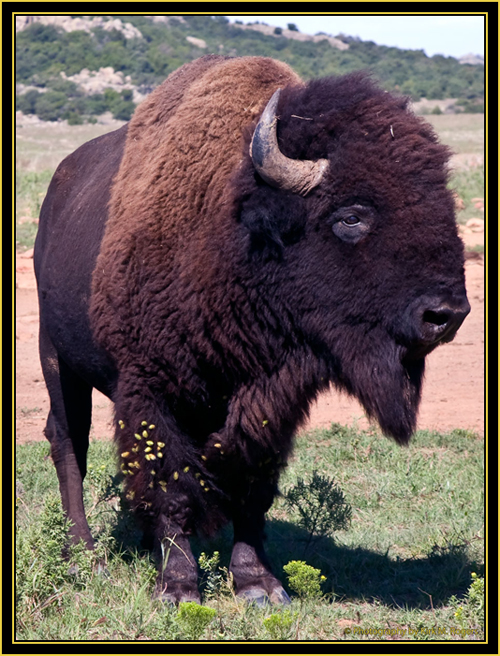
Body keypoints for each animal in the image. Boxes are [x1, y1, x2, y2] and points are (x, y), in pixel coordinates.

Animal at [34, 56, 468, 604]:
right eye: (351, 216)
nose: (447, 313)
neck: (234, 233)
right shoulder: (151, 392)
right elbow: (171, 484)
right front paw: (178, 587)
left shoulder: (270, 403)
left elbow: (250, 487)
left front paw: (258, 584)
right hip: (55, 356)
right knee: (69, 442)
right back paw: (84, 557)